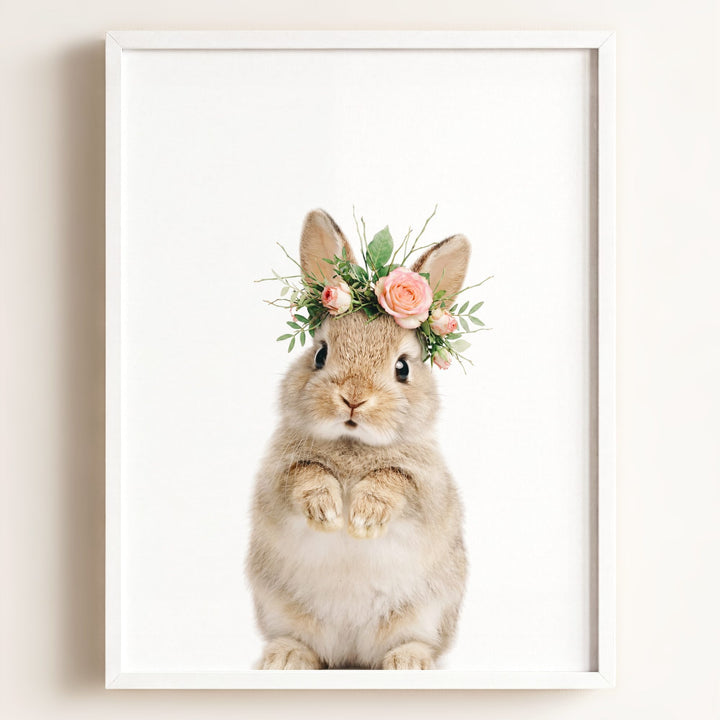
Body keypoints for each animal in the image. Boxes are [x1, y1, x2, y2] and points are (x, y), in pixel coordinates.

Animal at [246, 209, 469, 670]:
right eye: (320, 354)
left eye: (403, 367)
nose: (353, 398)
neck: (353, 445)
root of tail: (351, 654)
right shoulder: (277, 477)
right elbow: (306, 475)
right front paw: (329, 512)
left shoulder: (426, 487)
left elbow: (393, 481)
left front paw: (363, 519)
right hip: (280, 610)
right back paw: (285, 658)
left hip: (426, 613)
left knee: (413, 642)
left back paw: (410, 663)